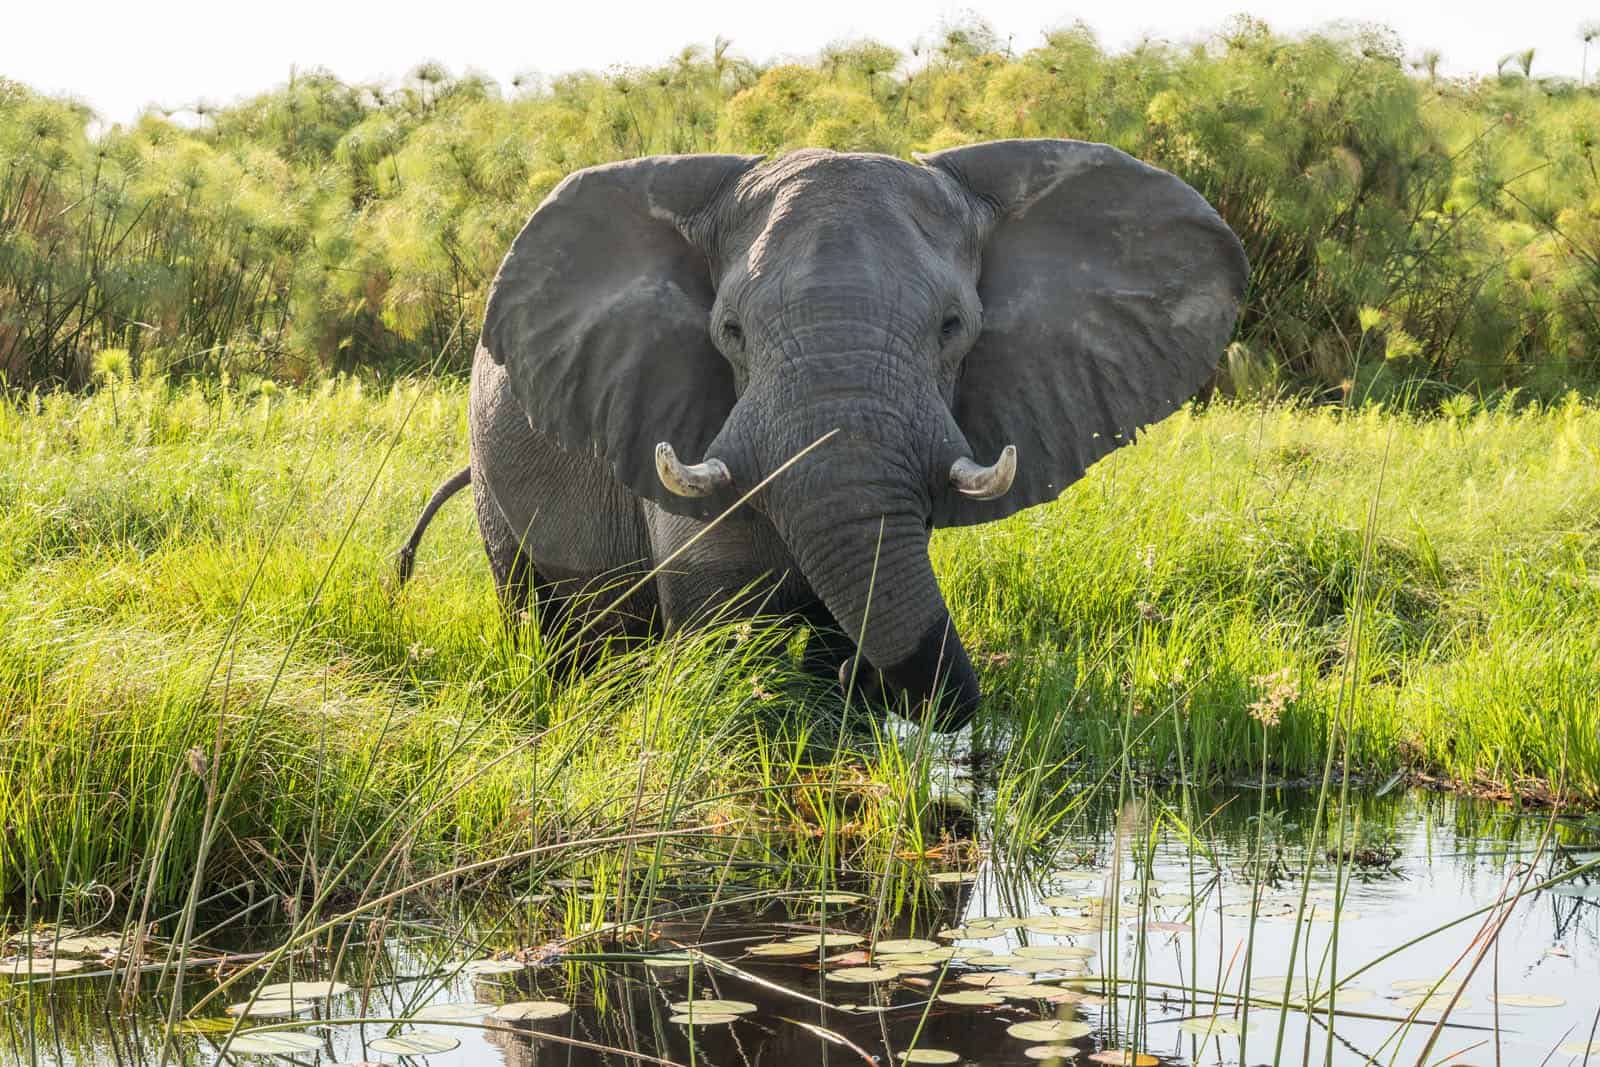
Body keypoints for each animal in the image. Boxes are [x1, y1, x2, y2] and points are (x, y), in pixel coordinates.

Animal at [400, 137, 1248, 729]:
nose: (870, 685)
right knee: (539, 614)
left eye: (954, 328)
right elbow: (723, 620)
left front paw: (833, 693)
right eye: (731, 332)